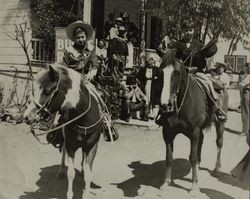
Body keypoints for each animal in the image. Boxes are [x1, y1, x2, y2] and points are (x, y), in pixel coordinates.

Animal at [23, 65, 104, 199]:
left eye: (47, 91)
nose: (26, 116)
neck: (84, 118)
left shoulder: (93, 146)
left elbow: (88, 175)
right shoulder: (71, 145)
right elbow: (71, 173)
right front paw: (69, 194)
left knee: (83, 156)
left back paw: (82, 169)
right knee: (64, 152)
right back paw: (61, 171)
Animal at [159, 53, 228, 197]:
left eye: (177, 72)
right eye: (160, 72)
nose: (165, 105)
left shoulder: (194, 132)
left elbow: (193, 157)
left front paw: (195, 187)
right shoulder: (167, 133)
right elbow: (169, 158)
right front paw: (166, 183)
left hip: (220, 123)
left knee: (219, 142)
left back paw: (216, 169)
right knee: (202, 141)